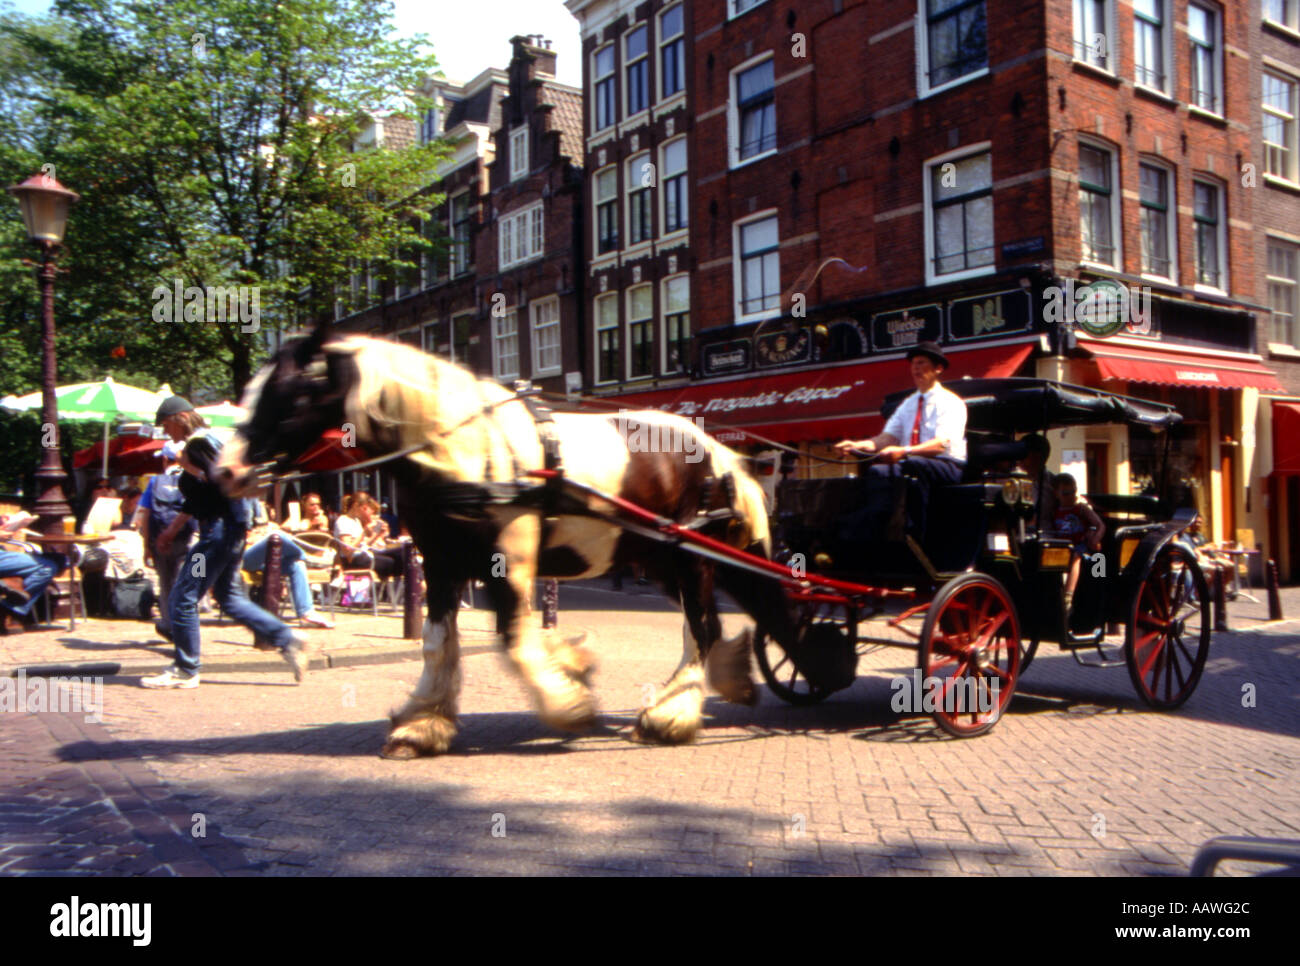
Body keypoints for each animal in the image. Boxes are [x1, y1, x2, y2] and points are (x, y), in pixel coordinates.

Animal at [215, 328, 790, 759]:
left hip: (689, 558)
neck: (459, 448)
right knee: (718, 624)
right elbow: (437, 641)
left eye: (291, 393)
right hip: (661, 559)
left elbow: (514, 638)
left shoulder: (507, 560)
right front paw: (423, 724)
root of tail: (716, 450)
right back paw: (727, 682)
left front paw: (569, 702)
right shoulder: (440, 562)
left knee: (703, 627)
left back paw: (669, 717)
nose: (226, 471)